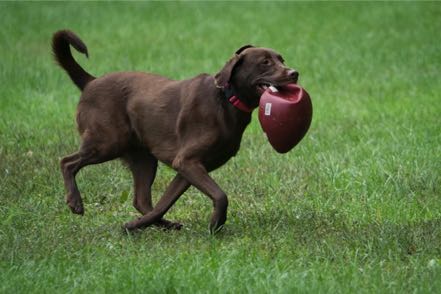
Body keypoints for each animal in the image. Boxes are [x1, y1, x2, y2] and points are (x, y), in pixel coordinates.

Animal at [52, 29, 300, 232]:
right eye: (265, 62)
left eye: (282, 60)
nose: (295, 73)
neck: (226, 99)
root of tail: (90, 82)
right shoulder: (187, 161)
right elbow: (221, 195)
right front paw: (216, 223)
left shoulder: (187, 168)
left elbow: (163, 204)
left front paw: (133, 225)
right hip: (107, 142)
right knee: (67, 162)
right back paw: (75, 202)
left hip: (144, 159)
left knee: (141, 201)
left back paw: (164, 225)